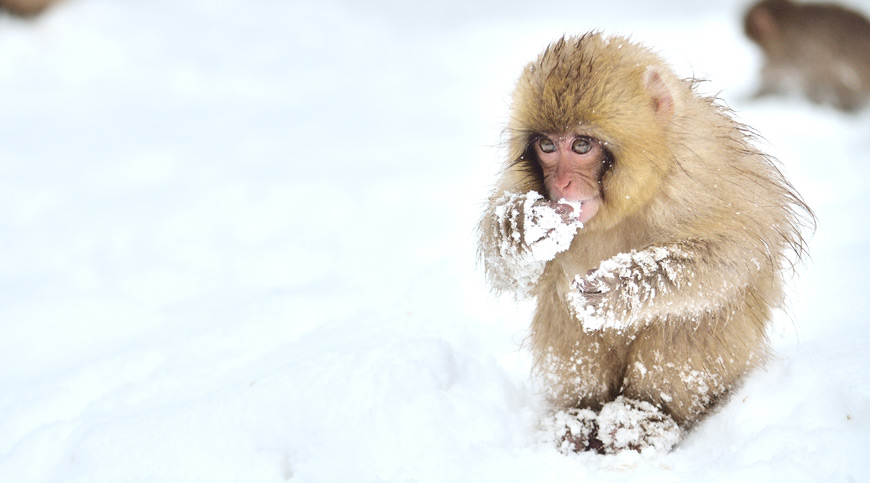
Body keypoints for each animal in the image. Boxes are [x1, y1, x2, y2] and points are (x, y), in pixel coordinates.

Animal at [480, 32, 816, 456]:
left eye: (581, 146)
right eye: (547, 146)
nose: (561, 184)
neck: (628, 200)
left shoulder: (705, 166)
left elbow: (737, 251)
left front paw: (622, 284)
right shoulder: (525, 188)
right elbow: (518, 275)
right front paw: (522, 228)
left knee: (694, 311)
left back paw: (644, 417)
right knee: (563, 300)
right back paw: (578, 416)